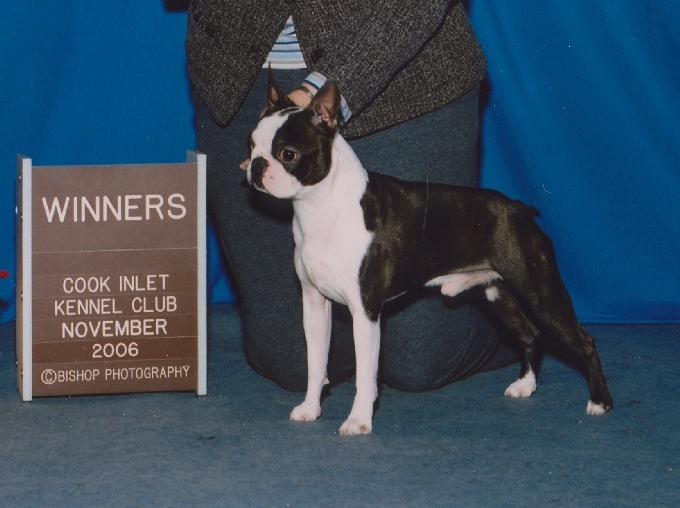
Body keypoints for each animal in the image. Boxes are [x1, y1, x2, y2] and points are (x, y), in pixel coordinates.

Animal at [242, 75, 612, 436]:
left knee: (584, 339)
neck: (321, 207)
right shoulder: (315, 304)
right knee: (530, 333)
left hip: (539, 290)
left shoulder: (365, 310)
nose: (256, 166)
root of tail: (519, 208)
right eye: (250, 145)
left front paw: (359, 421)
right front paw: (310, 408)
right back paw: (525, 385)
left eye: (288, 154)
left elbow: (365, 375)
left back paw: (599, 401)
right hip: (496, 293)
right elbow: (316, 364)